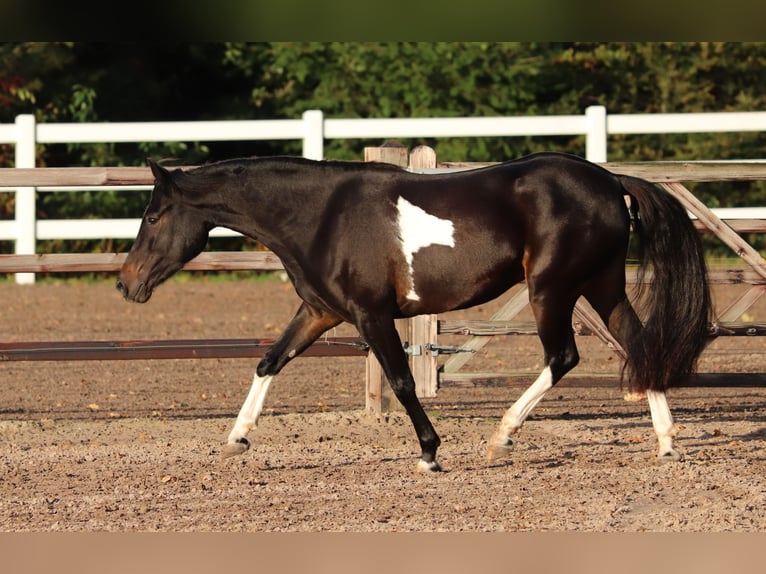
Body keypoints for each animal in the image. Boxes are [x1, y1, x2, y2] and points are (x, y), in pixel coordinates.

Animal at [115, 153, 712, 472]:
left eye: (152, 216)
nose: (126, 284)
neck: (321, 216)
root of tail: (610, 181)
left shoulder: (370, 315)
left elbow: (401, 381)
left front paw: (430, 453)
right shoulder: (320, 311)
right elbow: (269, 361)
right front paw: (238, 436)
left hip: (553, 289)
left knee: (562, 357)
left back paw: (502, 436)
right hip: (602, 286)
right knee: (639, 344)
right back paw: (665, 443)